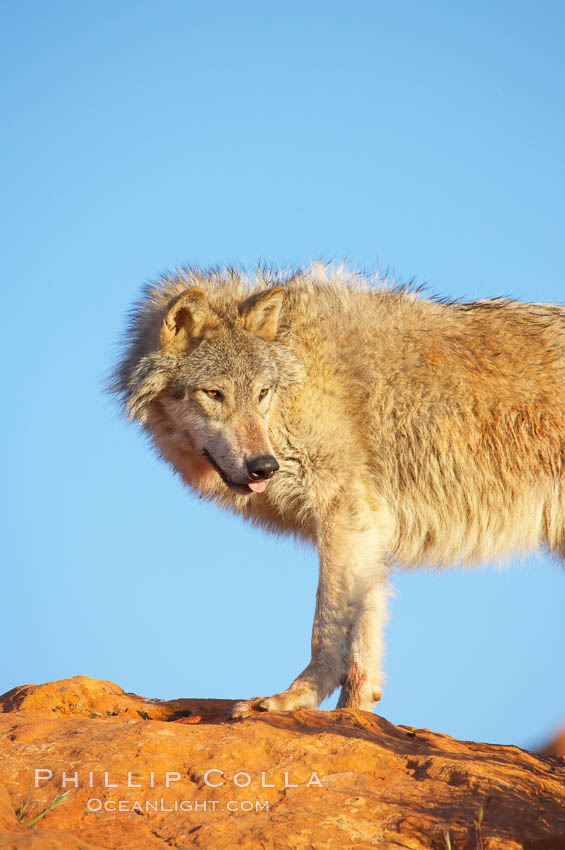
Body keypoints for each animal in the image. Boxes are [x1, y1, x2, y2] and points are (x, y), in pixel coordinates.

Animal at [111, 264, 564, 716]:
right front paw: (353, 711)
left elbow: (327, 625)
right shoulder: (369, 525)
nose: (264, 467)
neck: (295, 390)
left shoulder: (345, 509)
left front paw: (295, 698)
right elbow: (365, 634)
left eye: (261, 393)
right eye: (213, 394)